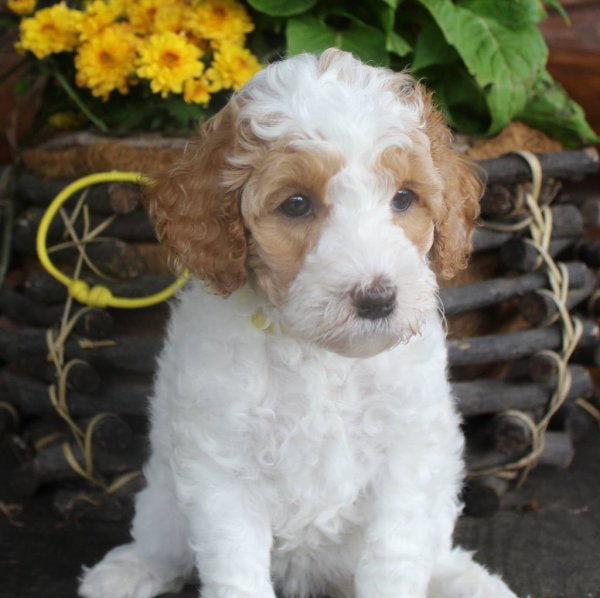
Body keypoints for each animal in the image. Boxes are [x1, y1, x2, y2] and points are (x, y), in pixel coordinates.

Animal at [79, 50, 516, 598]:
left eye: (403, 198)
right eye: (296, 204)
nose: (377, 298)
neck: (320, 355)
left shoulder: (408, 459)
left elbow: (394, 559)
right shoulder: (222, 468)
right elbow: (236, 572)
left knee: (437, 554)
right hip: (164, 498)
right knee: (161, 543)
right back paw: (126, 572)